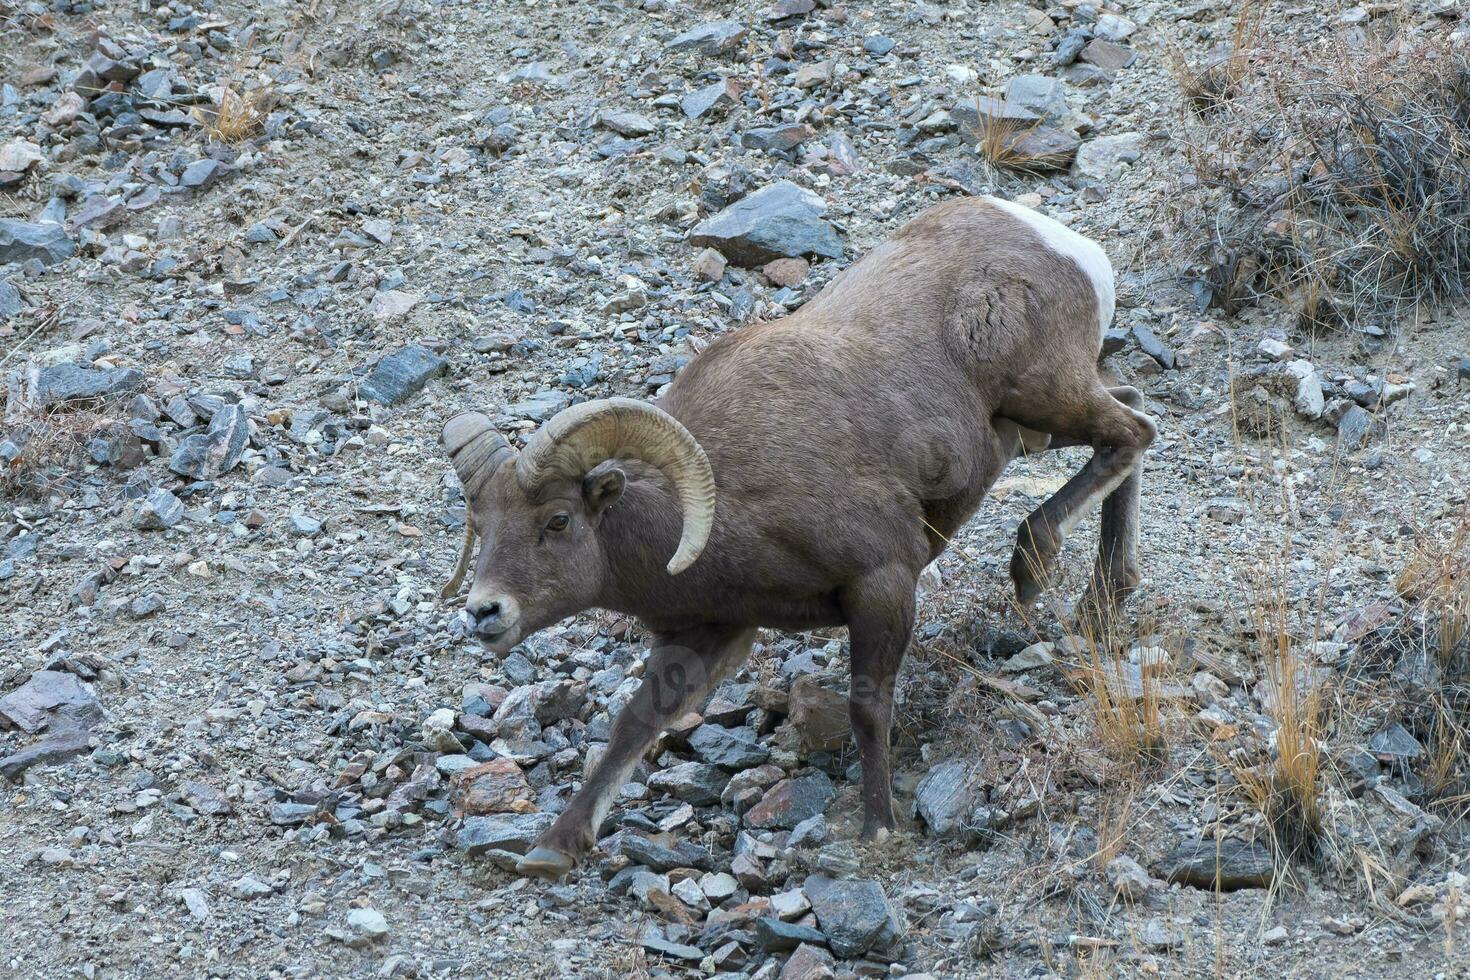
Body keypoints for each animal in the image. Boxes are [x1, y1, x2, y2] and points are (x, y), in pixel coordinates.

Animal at [441, 195, 1152, 875]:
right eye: (482, 525)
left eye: (557, 521)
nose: (484, 613)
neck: (724, 499)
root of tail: (1064, 245)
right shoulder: (710, 631)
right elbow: (634, 724)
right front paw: (553, 849)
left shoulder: (882, 583)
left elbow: (868, 707)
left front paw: (877, 828)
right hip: (1025, 426)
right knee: (1132, 407)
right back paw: (1104, 598)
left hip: (1040, 393)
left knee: (1131, 430)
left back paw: (1035, 565)